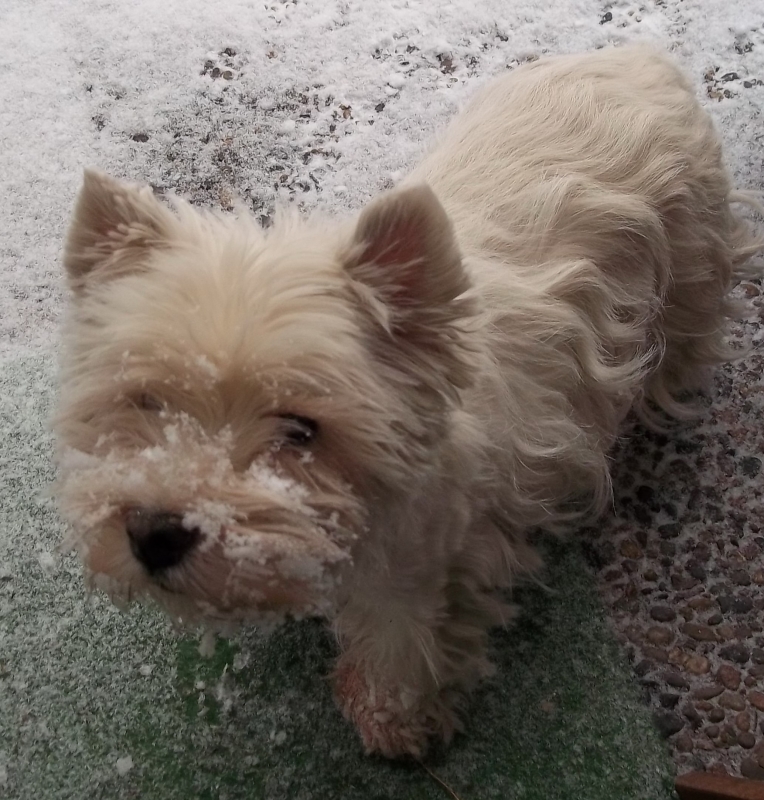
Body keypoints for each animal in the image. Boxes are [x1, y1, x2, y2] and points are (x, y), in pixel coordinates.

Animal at [54, 44, 762, 759]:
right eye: (146, 401)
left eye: (302, 429)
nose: (154, 533)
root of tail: (639, 56)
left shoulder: (421, 568)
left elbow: (402, 648)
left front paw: (393, 722)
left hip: (690, 254)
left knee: (689, 326)